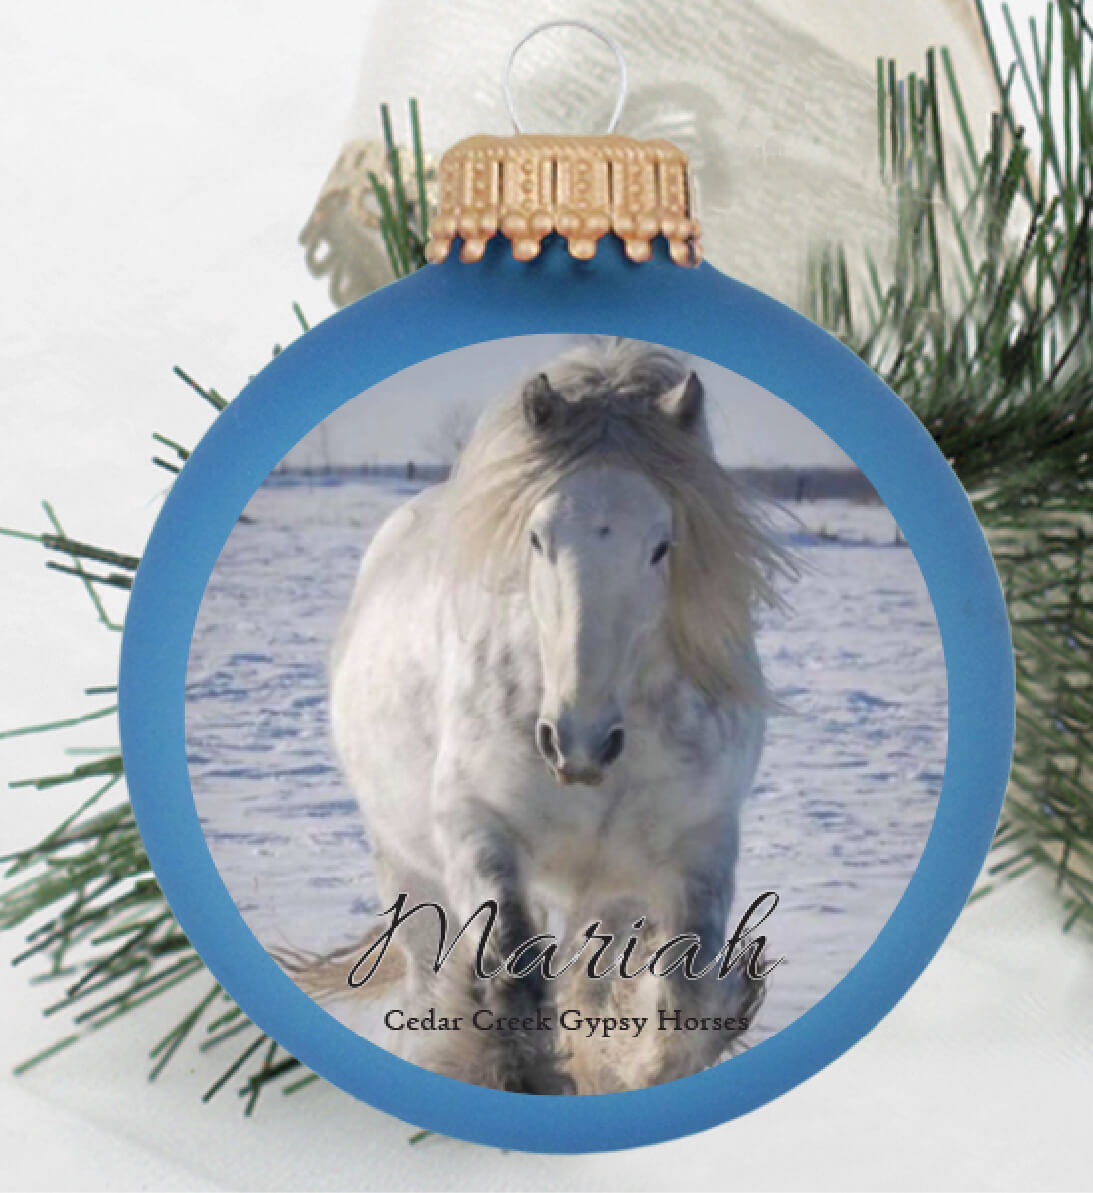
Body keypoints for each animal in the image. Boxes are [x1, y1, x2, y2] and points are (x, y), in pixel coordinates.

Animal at [320, 339, 790, 1093]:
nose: (578, 742)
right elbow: (515, 996)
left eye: (661, 544)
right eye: (538, 538)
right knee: (430, 982)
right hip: (408, 867)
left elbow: (677, 1012)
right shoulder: (478, 830)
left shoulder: (694, 845)